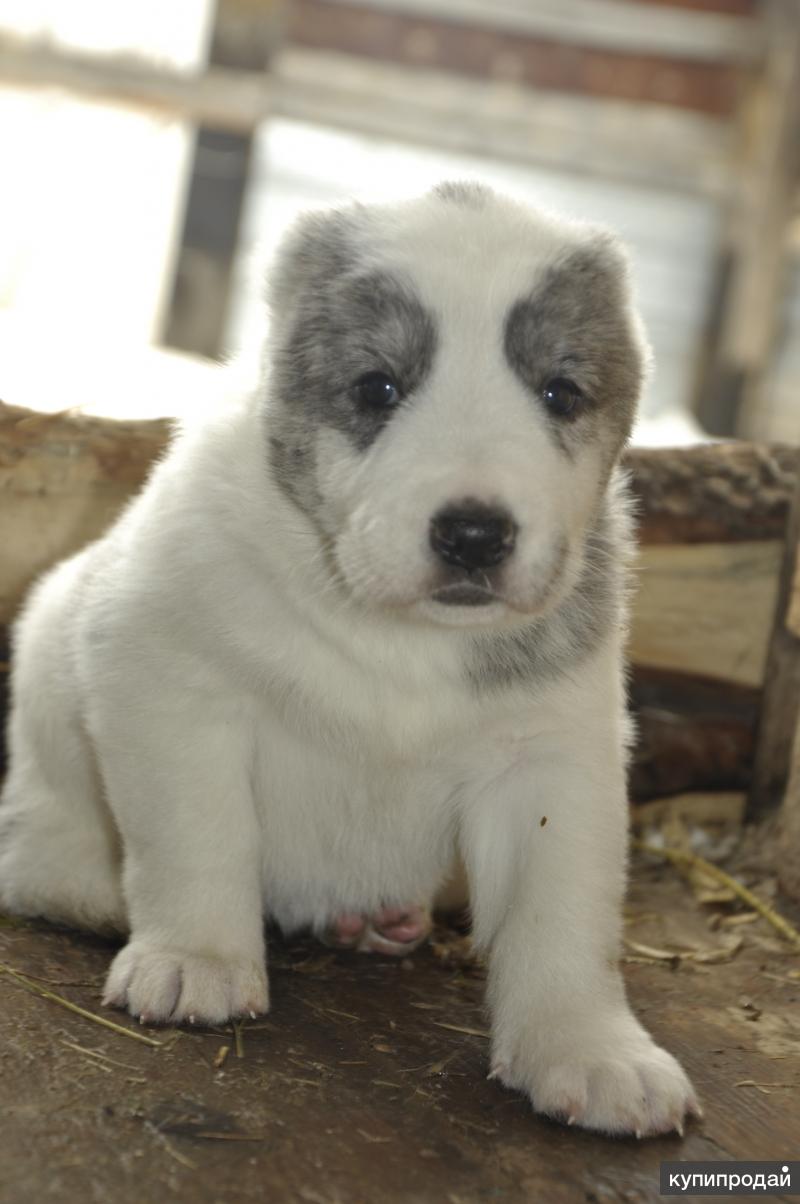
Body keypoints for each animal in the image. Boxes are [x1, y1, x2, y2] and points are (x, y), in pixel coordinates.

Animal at [0, 180, 698, 1136]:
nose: (474, 534)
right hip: (50, 653)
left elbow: (562, 912)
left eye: (559, 392)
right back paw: (105, 896)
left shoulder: (556, 758)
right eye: (379, 387)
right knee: (37, 853)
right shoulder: (168, 682)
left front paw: (589, 1048)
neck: (400, 635)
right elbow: (196, 838)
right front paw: (195, 956)